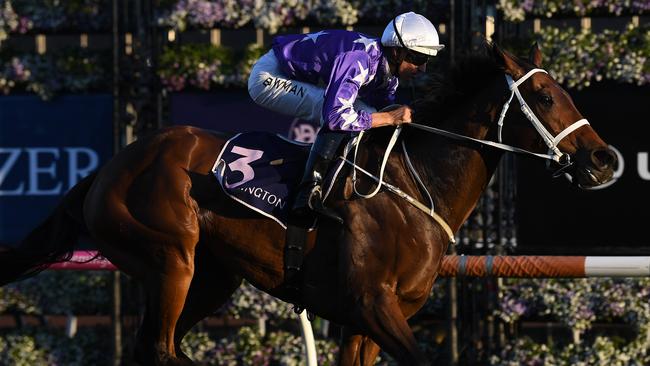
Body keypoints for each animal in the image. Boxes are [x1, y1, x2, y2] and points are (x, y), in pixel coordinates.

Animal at [0, 43, 612, 366]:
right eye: (543, 97)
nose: (604, 160)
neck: (414, 190)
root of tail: (107, 169)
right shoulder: (372, 304)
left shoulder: (368, 319)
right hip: (170, 260)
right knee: (163, 350)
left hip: (211, 276)